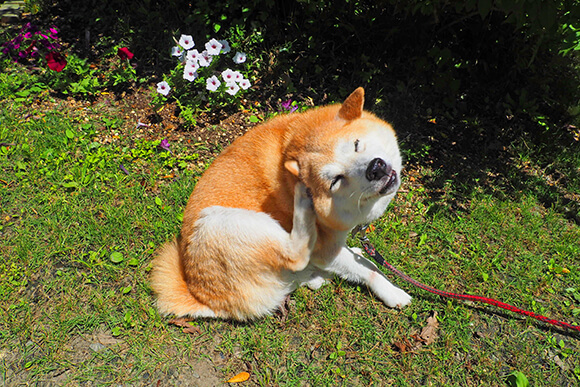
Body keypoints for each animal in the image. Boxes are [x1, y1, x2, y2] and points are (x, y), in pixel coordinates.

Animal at [151, 88, 412, 322]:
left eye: (357, 144)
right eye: (336, 180)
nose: (375, 168)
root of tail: (204, 298)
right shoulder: (325, 250)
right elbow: (370, 270)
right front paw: (391, 291)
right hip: (218, 220)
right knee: (295, 254)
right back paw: (302, 204)